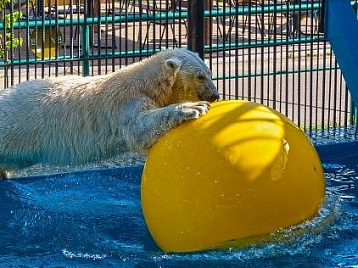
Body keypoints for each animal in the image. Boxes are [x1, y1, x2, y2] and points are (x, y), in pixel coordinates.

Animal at [0, 48, 220, 178]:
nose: (216, 95)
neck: (147, 82)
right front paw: (193, 107)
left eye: (210, 73)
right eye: (200, 76)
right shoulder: (127, 102)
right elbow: (139, 129)